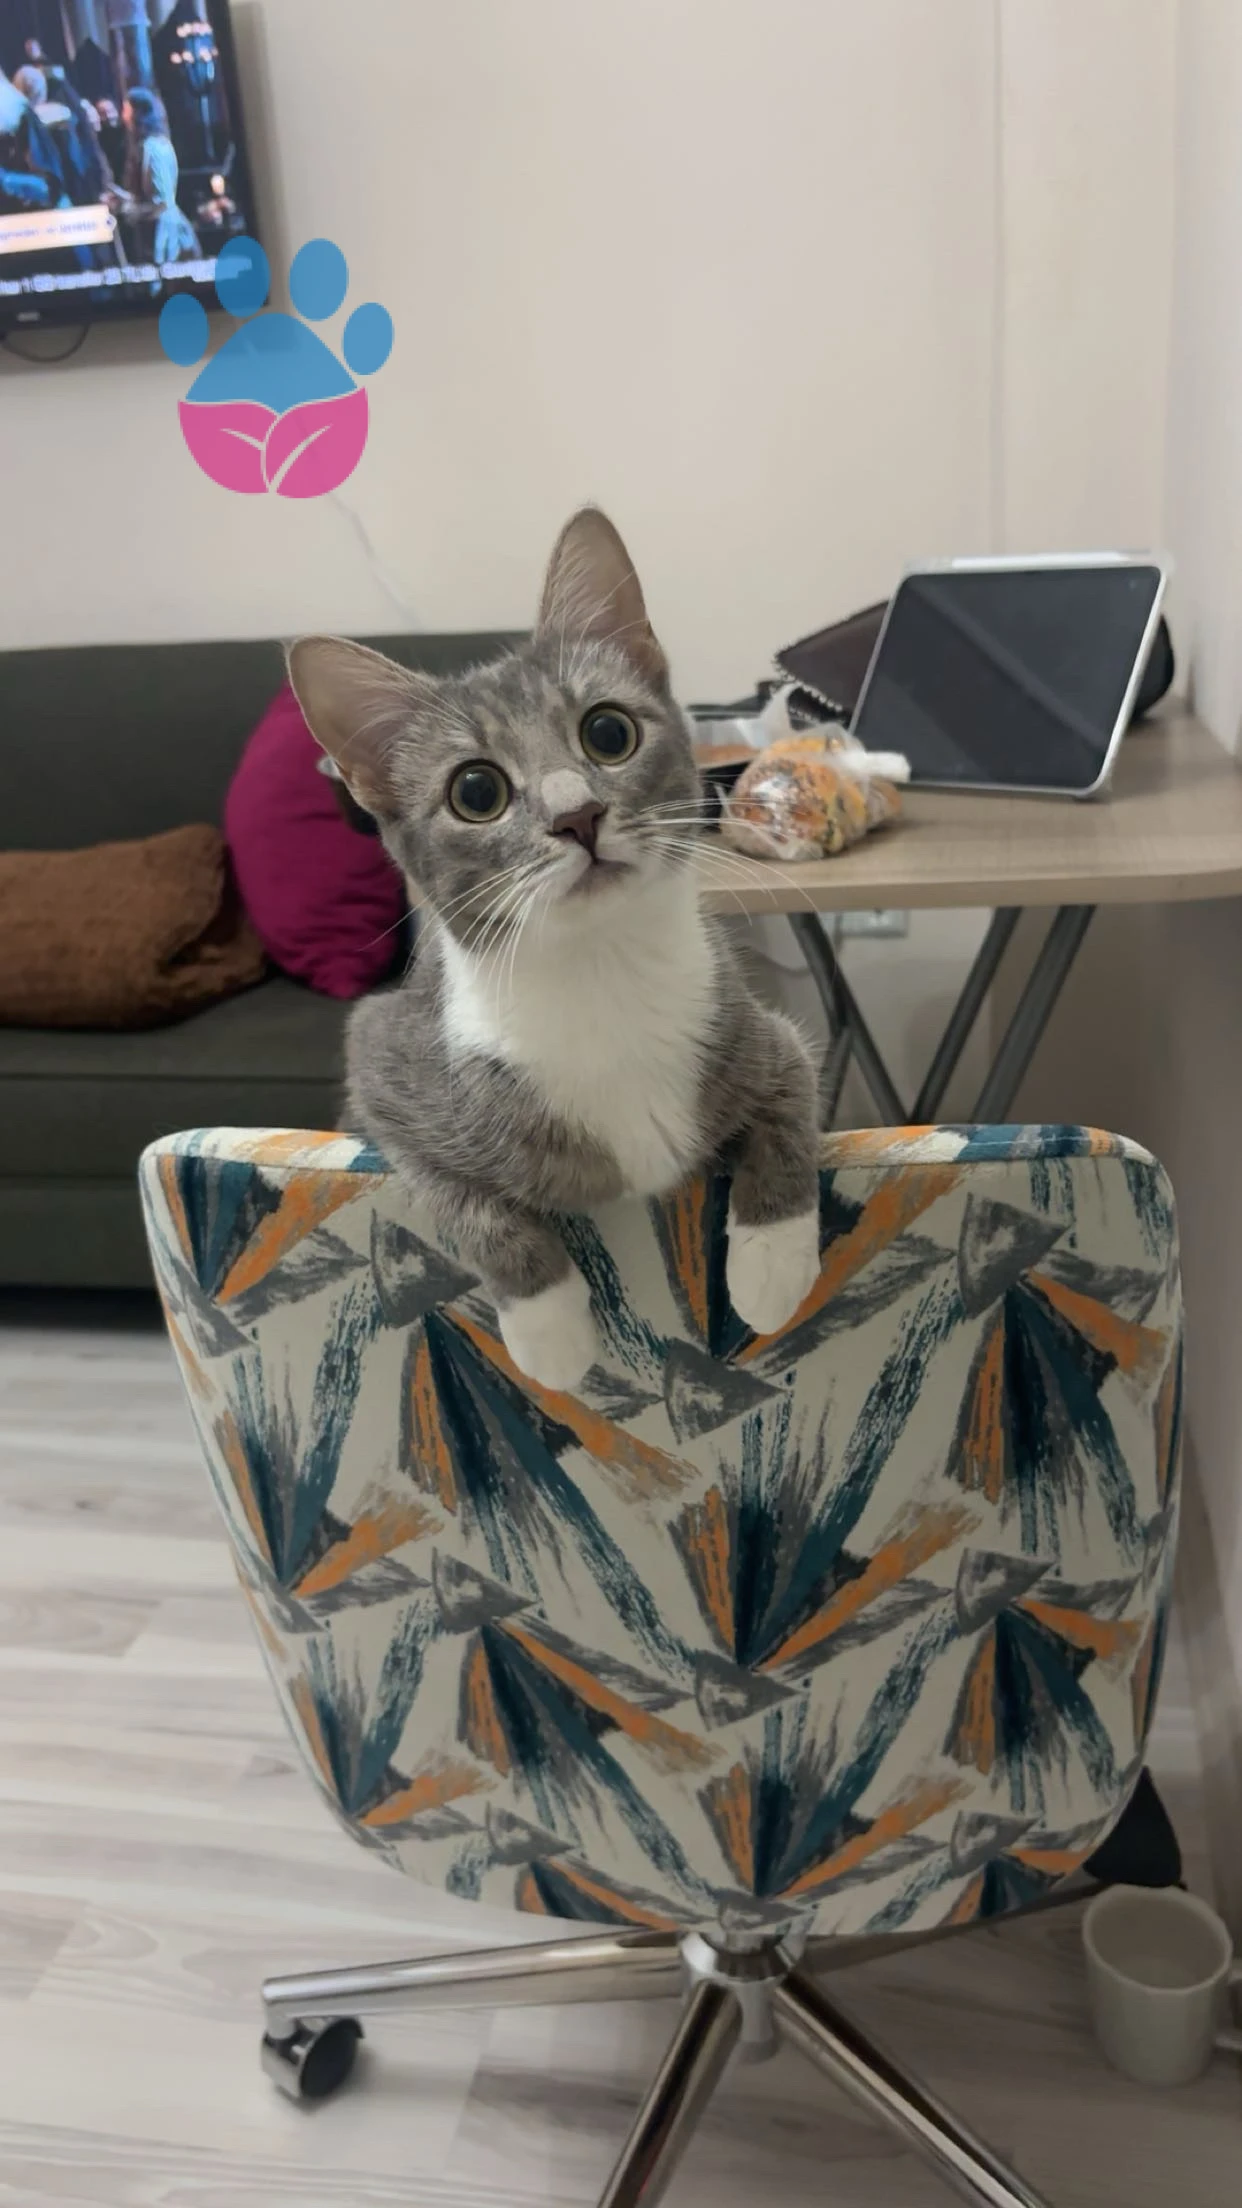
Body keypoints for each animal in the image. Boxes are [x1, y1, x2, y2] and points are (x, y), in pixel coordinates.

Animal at [288, 506, 821, 1391]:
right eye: (475, 791)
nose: (578, 814)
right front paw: (549, 1330)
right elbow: (459, 1197)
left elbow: (793, 1094)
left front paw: (772, 1261)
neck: (600, 972)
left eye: (608, 731)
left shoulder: (756, 1028)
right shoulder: (381, 1068)